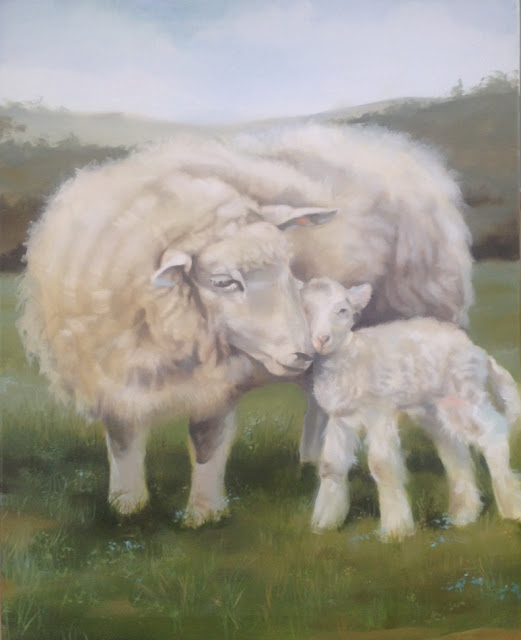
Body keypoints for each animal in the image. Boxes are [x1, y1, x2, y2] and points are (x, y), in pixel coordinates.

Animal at [17, 122, 474, 525]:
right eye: (223, 282)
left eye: (290, 267)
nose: (303, 350)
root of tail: (399, 148)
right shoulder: (109, 372)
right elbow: (123, 438)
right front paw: (126, 505)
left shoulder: (219, 379)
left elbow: (207, 439)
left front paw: (203, 514)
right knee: (320, 399)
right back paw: (309, 460)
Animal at [301, 277, 521, 539]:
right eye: (306, 310)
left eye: (343, 310)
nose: (322, 340)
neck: (350, 356)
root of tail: (479, 352)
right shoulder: (340, 418)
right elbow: (330, 466)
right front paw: (324, 524)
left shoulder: (379, 413)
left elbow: (382, 466)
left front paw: (396, 531)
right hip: (434, 409)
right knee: (454, 450)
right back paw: (464, 514)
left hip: (464, 395)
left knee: (493, 432)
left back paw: (510, 509)